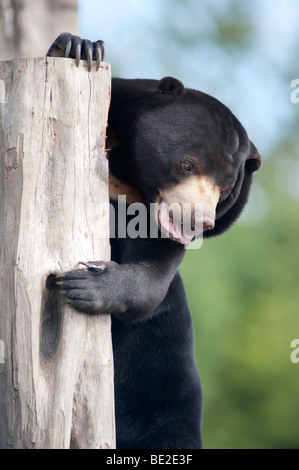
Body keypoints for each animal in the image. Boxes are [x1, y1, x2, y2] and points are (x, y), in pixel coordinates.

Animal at [47, 33, 262, 448]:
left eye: (226, 188)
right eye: (188, 164)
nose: (197, 221)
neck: (129, 181)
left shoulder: (159, 229)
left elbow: (151, 281)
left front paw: (84, 284)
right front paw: (80, 47)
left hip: (166, 386)